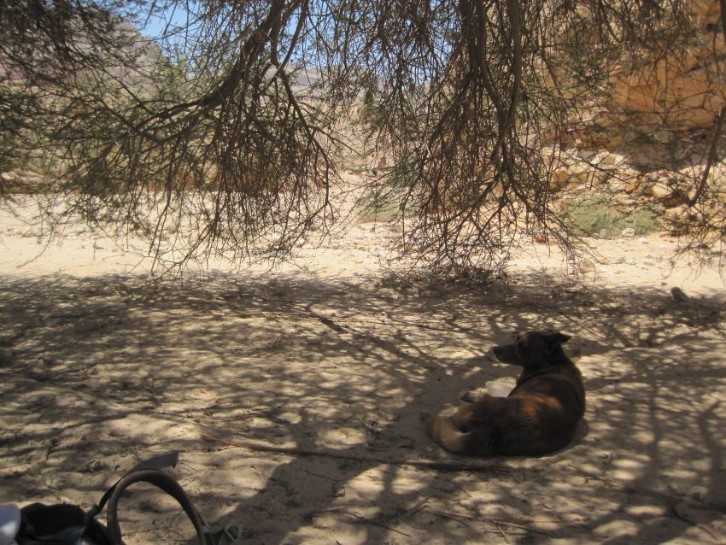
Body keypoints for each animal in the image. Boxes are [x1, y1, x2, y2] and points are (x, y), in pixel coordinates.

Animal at [426, 332, 584, 454]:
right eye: (515, 338)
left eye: (522, 346)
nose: (495, 349)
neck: (552, 364)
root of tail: (492, 431)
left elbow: (484, 394)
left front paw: (468, 393)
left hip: (473, 407)